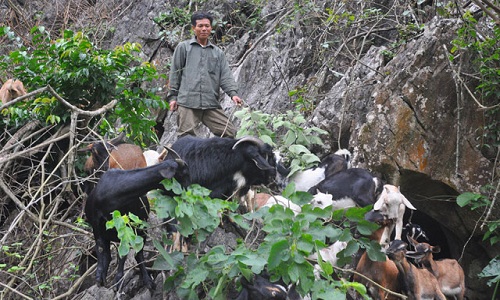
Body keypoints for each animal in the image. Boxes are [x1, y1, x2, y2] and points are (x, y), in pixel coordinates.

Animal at [86, 158, 188, 290]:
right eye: (183, 173)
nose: (186, 191)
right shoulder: (96, 225)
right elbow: (100, 248)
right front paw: (99, 277)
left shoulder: (127, 228)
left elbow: (124, 254)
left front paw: (118, 280)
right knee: (107, 254)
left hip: (140, 231)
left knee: (137, 255)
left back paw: (147, 280)